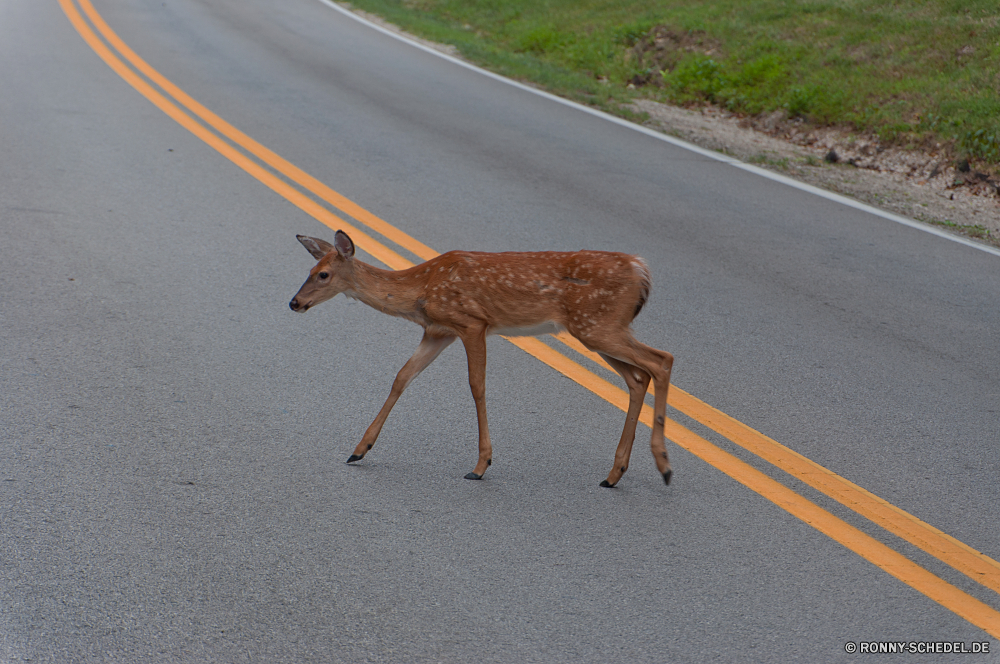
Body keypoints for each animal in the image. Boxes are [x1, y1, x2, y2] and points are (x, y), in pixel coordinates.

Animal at [292, 230, 676, 488]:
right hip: (597, 330)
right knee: (638, 377)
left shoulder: (472, 322)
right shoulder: (438, 332)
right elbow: (402, 377)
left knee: (662, 359)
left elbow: (477, 386)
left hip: (597, 325)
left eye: (323, 274)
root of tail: (640, 268)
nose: (295, 302)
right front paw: (359, 449)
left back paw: (664, 465)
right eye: (308, 272)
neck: (420, 291)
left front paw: (480, 465)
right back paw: (614, 474)